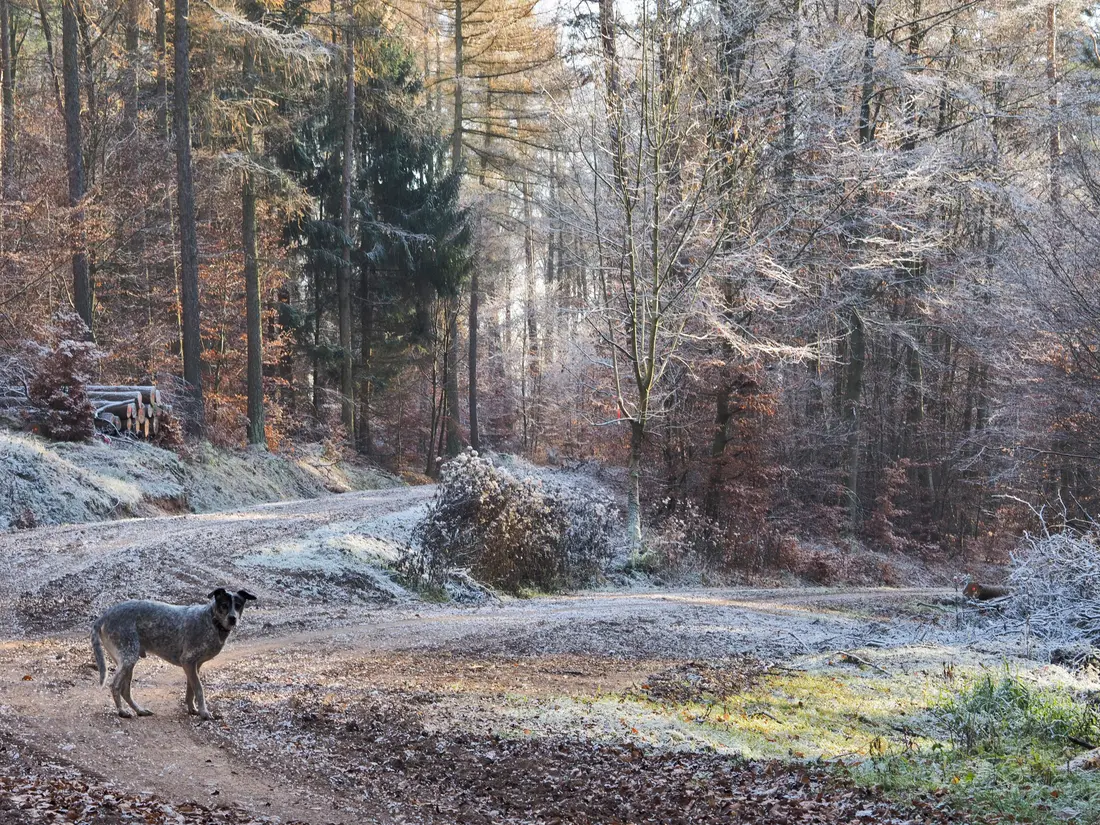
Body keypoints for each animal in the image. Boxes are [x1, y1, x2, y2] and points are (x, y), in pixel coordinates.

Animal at [91, 589, 256, 721]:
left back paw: (140, 710)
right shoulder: (188, 661)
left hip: (128, 661)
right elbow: (199, 689)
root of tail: (104, 616)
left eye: (238, 605)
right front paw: (204, 712)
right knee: (115, 686)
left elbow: (191, 690)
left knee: (125, 690)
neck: (211, 620)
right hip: (128, 658)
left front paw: (193, 709)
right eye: (224, 605)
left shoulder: (194, 665)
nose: (233, 618)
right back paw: (122, 711)